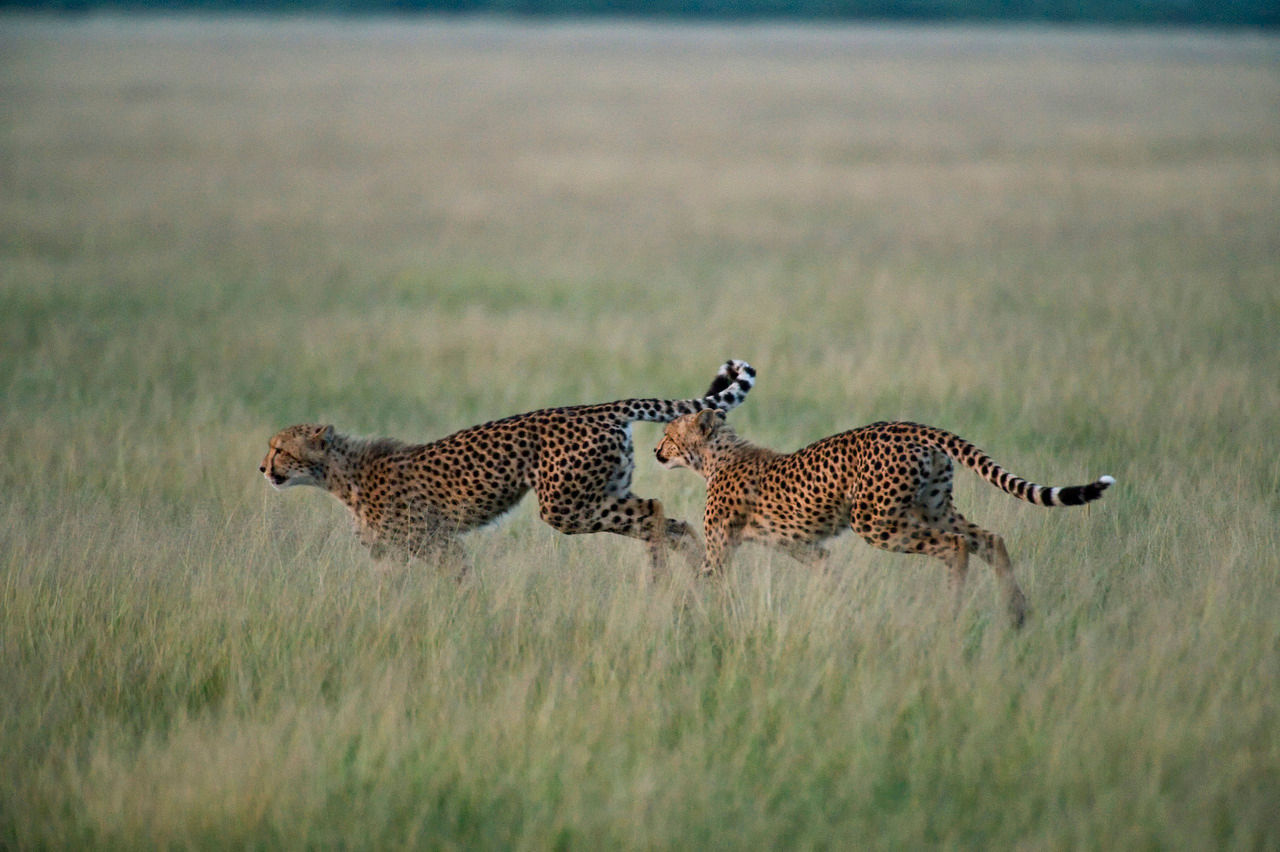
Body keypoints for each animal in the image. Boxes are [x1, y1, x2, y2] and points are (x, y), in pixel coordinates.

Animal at [260, 360, 756, 578]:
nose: (262, 468)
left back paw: (659, 578)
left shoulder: (437, 542)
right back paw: (685, 573)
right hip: (599, 492)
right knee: (671, 522)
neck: (341, 476)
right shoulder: (397, 553)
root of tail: (594, 407)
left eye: (279, 449)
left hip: (565, 506)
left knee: (654, 511)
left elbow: (456, 582)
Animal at [655, 409, 1114, 626]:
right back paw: (1017, 613)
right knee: (989, 538)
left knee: (956, 547)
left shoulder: (721, 549)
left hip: (876, 521)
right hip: (932, 507)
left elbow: (701, 581)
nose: (656, 452)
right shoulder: (806, 548)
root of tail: (909, 426)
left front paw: (682, 617)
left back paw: (952, 612)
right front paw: (843, 614)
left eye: (667, 435)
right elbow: (830, 578)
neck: (716, 457)